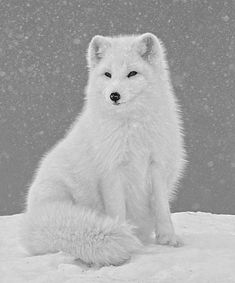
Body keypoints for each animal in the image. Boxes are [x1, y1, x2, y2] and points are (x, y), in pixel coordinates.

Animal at [20, 32, 186, 266]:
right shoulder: (111, 171)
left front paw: (168, 238)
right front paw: (124, 234)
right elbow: (117, 210)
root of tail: (31, 215)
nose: (114, 95)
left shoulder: (157, 165)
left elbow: (162, 208)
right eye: (107, 74)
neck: (131, 126)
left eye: (132, 73)